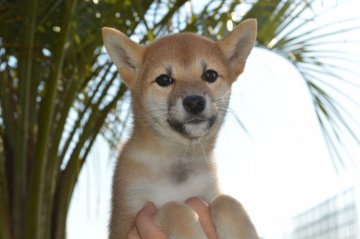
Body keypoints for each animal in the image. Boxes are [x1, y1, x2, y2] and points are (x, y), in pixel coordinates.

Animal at [102, 19, 258, 239]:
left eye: (210, 75)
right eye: (164, 79)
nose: (194, 102)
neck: (179, 161)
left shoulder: (210, 193)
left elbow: (228, 202)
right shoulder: (127, 220)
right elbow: (173, 207)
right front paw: (190, 232)